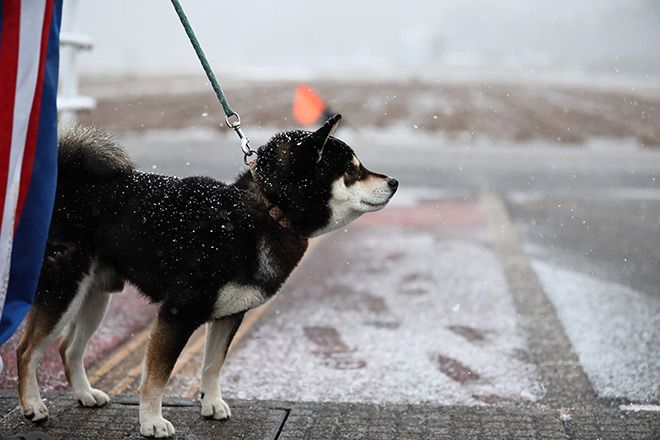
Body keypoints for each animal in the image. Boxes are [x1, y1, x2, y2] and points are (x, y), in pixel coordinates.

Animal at [15, 115, 398, 438]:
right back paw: (32, 405)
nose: (394, 181)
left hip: (94, 296)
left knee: (68, 348)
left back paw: (84, 394)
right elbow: (157, 377)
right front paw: (151, 421)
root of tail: (66, 182)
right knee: (26, 350)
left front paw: (211, 403)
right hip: (63, 289)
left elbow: (213, 364)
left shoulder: (231, 315)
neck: (266, 212)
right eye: (351, 171)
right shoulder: (178, 314)